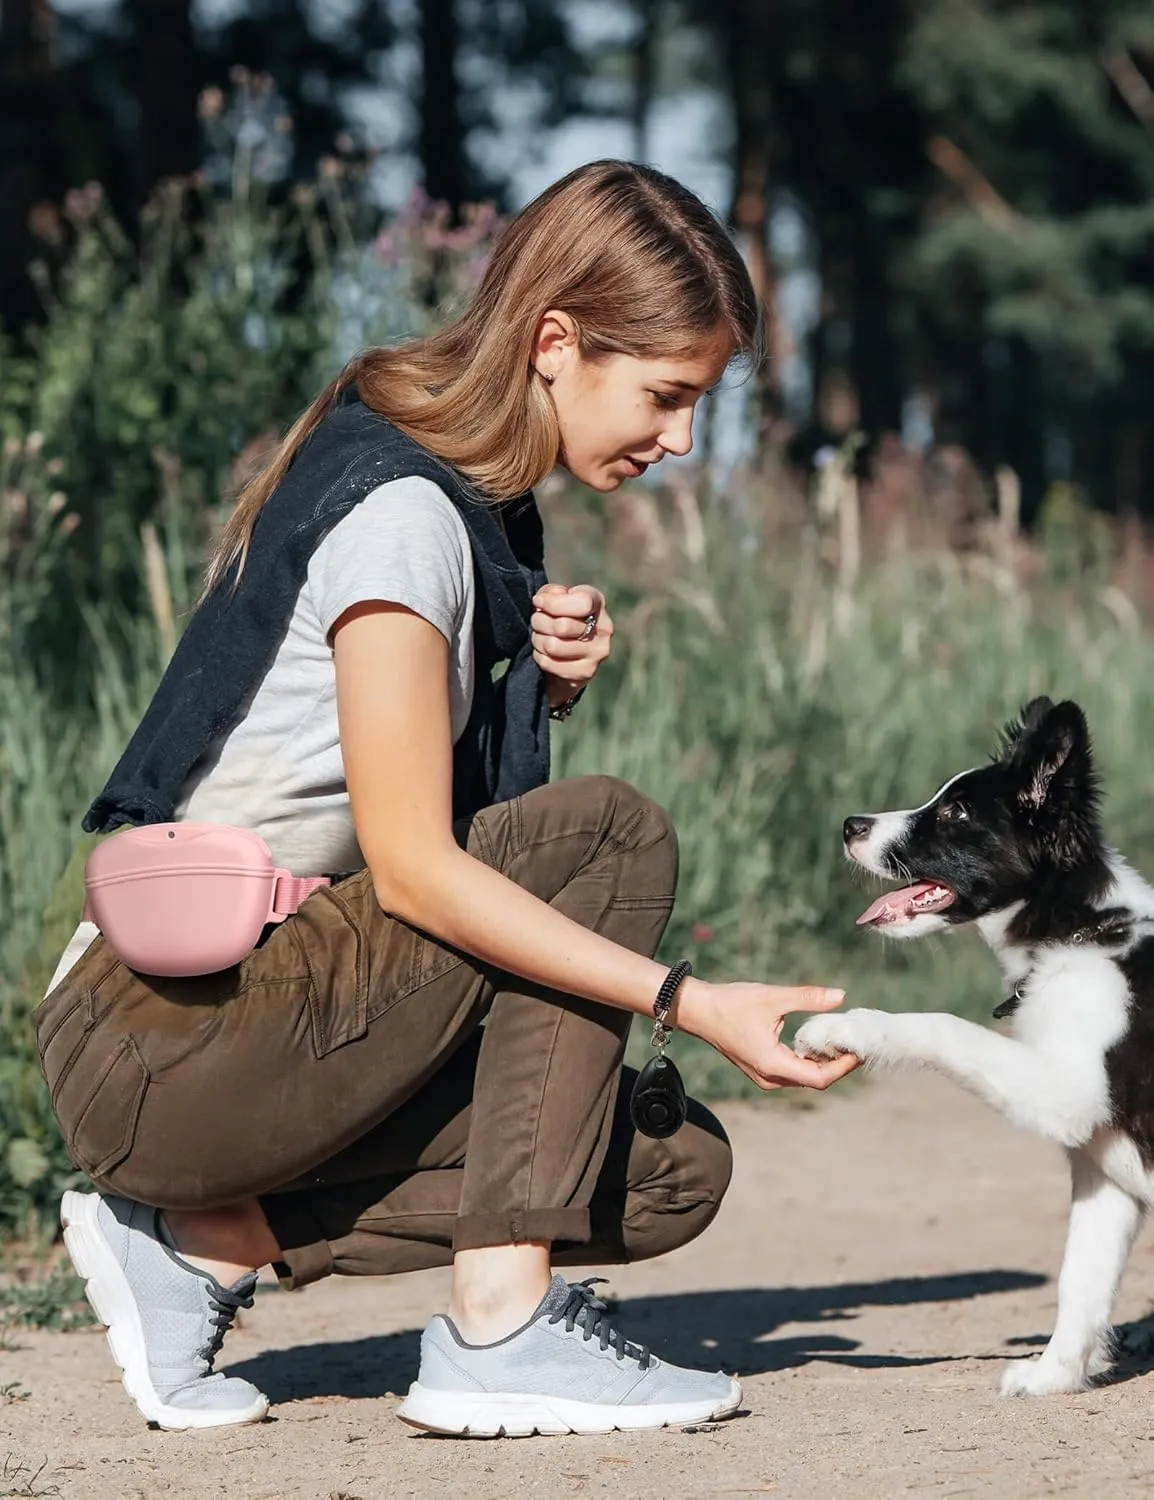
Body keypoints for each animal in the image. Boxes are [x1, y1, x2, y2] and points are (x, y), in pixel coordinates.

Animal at [798, 699, 1152, 1392]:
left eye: (957, 813)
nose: (851, 825)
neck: (1077, 930)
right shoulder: (1101, 1162)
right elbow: (1081, 1280)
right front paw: (1053, 1377)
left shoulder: (1069, 1094)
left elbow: (943, 1025)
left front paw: (844, 1028)